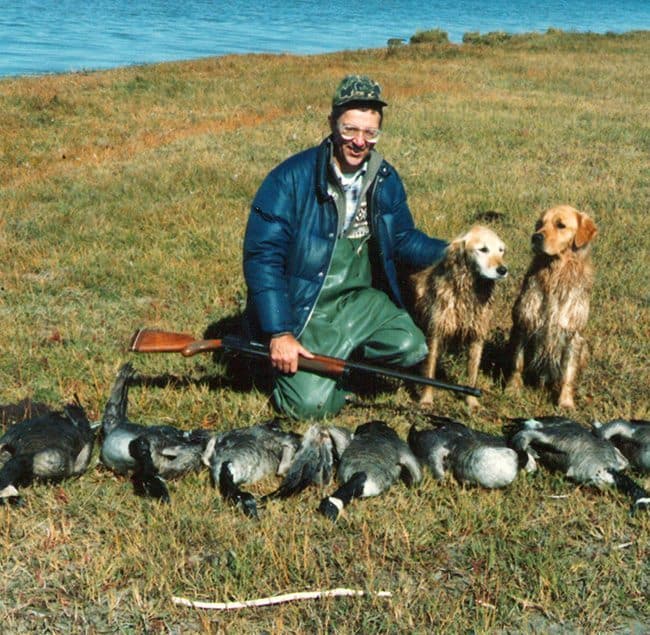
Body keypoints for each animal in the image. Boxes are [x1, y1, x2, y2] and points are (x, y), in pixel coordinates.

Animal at [410, 226, 506, 410]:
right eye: (483, 249)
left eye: (501, 250)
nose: (503, 270)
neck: (468, 291)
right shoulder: (436, 332)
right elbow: (430, 371)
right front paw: (426, 399)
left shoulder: (477, 336)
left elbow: (472, 373)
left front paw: (472, 402)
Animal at [506, 206, 596, 410]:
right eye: (539, 224)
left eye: (560, 225)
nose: (536, 237)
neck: (555, 273)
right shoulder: (523, 324)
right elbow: (517, 363)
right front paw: (512, 389)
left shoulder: (572, 334)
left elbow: (568, 374)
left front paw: (566, 402)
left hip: (584, 347)